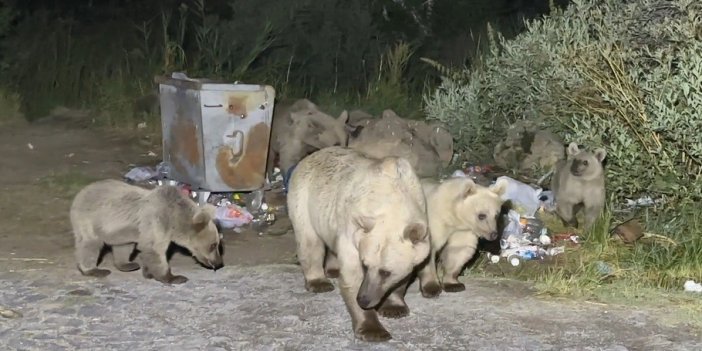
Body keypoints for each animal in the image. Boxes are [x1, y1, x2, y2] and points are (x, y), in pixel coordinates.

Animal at [70, 180, 224, 284]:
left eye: (217, 245)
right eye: (213, 245)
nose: (218, 263)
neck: (174, 219)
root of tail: (81, 192)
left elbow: (147, 249)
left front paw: (148, 273)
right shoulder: (157, 221)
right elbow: (155, 249)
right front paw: (174, 277)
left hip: (122, 230)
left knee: (123, 246)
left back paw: (128, 264)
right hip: (89, 220)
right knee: (90, 245)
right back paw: (94, 270)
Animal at [288, 147, 432, 342]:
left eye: (386, 272)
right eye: (365, 264)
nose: (364, 299)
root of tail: (311, 155)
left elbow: (404, 276)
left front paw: (394, 308)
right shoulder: (354, 230)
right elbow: (352, 276)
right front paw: (373, 330)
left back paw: (332, 269)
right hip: (304, 197)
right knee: (310, 241)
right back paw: (319, 282)